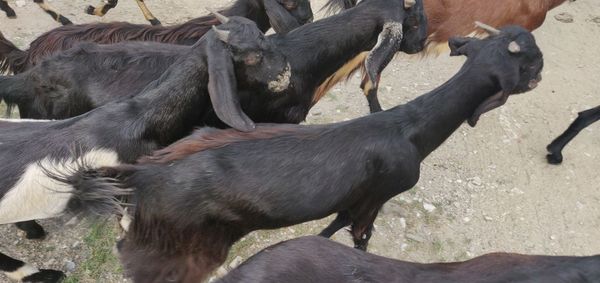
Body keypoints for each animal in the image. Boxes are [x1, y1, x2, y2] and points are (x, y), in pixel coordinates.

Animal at [0, 16, 290, 283]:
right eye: (254, 55)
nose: (285, 73)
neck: (140, 117)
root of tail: (27, 77)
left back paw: (34, 232)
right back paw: (39, 271)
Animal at [58, 23, 548, 283]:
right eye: (530, 63)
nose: (542, 75)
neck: (409, 128)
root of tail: (137, 177)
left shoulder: (356, 197)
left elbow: (334, 224)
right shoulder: (380, 196)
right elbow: (361, 235)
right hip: (175, 255)